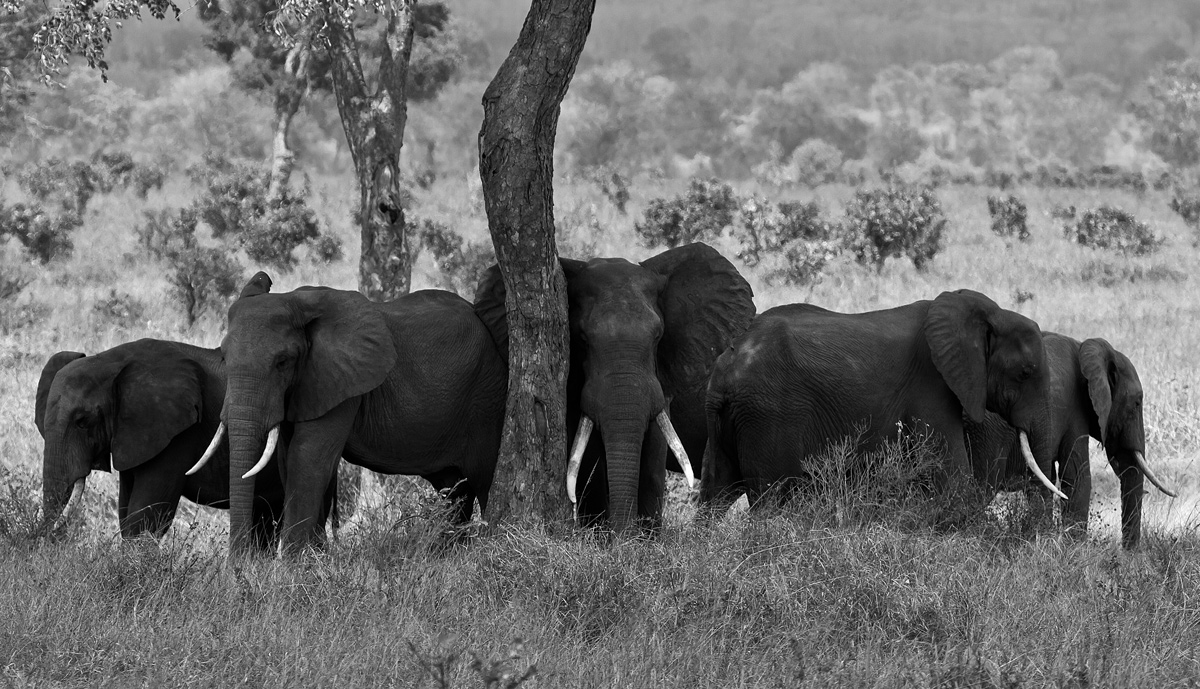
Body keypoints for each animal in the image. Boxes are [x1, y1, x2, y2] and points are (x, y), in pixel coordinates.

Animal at [209, 272, 507, 555]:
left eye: (282, 362)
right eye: (223, 358)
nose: (239, 565)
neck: (296, 301)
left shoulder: (341, 383)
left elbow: (306, 458)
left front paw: (291, 567)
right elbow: (287, 459)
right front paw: (314, 559)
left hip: (488, 400)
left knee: (482, 481)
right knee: (455, 492)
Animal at [475, 242, 755, 534]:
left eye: (658, 336)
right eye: (582, 339)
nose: (622, 536)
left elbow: (653, 447)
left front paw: (643, 539)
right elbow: (589, 456)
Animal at [699, 289, 1064, 517]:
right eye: (1025, 372)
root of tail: (726, 366)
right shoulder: (930, 386)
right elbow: (953, 479)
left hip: (728, 420)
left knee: (713, 497)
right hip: (769, 415)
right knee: (771, 505)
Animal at [965, 333, 1176, 549]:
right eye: (1137, 403)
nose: (1128, 553)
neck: (1086, 348)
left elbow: (1049, 478)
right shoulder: (1075, 411)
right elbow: (1077, 477)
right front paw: (1076, 548)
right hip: (988, 435)